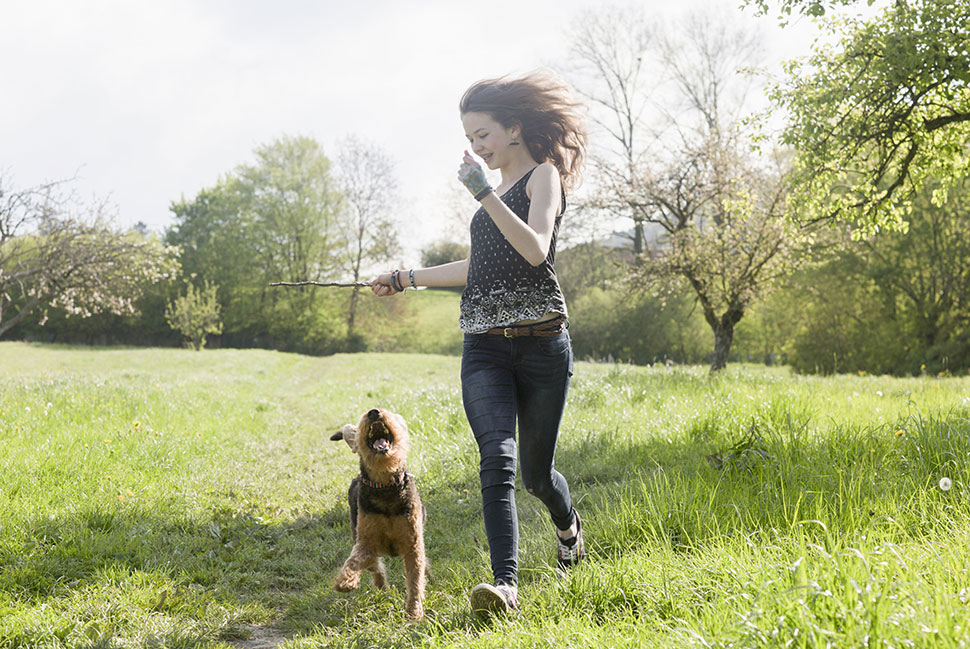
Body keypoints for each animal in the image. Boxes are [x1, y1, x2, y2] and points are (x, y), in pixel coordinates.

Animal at [330, 408, 426, 620]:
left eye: (390, 412)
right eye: (362, 417)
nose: (374, 412)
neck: (384, 486)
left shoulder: (413, 544)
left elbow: (415, 580)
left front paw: (414, 612)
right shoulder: (366, 542)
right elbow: (354, 561)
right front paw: (345, 582)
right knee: (376, 568)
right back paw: (382, 588)